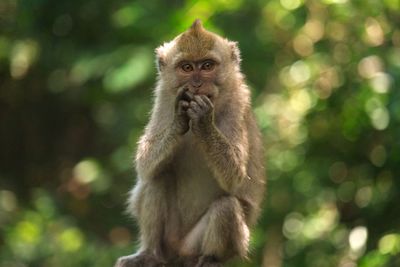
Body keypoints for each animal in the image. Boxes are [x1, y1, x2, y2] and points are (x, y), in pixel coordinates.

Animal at [115, 19, 266, 267]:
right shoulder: (165, 98)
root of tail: (177, 254)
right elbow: (145, 164)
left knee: (226, 207)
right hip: (170, 240)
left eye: (207, 66)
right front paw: (179, 119)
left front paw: (203, 119)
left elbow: (234, 176)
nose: (196, 85)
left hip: (201, 245)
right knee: (157, 178)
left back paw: (210, 259)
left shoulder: (238, 103)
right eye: (186, 67)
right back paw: (150, 254)